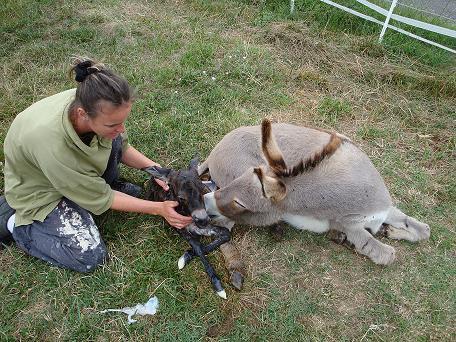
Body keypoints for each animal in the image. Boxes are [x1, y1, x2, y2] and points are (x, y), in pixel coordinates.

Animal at [144, 158, 232, 300]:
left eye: (201, 189)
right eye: (181, 197)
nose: (203, 220)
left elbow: (225, 234)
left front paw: (186, 256)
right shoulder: (179, 227)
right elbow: (198, 247)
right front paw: (218, 286)